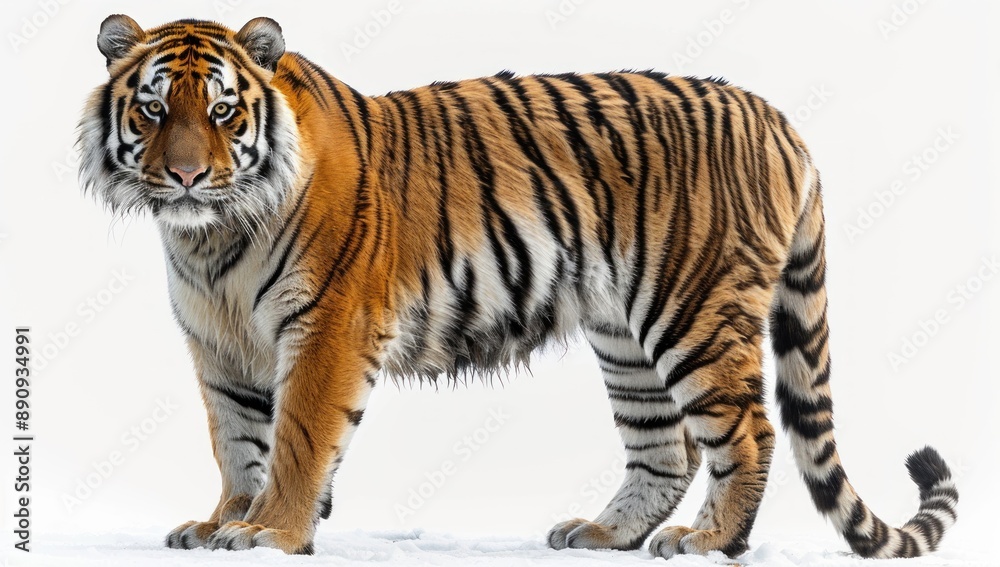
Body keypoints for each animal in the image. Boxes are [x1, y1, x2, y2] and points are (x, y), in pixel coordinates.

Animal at [78, 14, 958, 559]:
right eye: (154, 109)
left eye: (224, 111)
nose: (186, 175)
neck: (209, 236)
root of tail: (780, 118)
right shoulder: (219, 344)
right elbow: (237, 441)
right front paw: (222, 521)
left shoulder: (328, 327)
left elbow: (296, 439)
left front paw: (272, 533)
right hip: (624, 334)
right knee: (665, 447)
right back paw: (602, 534)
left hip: (695, 310)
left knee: (749, 429)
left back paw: (710, 543)